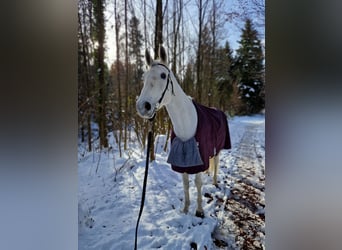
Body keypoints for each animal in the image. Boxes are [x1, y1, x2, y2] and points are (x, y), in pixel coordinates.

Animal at [136, 46, 230, 217]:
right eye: (144, 77)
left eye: (163, 75)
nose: (143, 106)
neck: (187, 122)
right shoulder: (182, 160)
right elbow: (186, 184)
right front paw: (185, 209)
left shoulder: (198, 159)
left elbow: (197, 183)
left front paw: (199, 211)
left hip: (218, 149)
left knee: (216, 163)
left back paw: (214, 182)